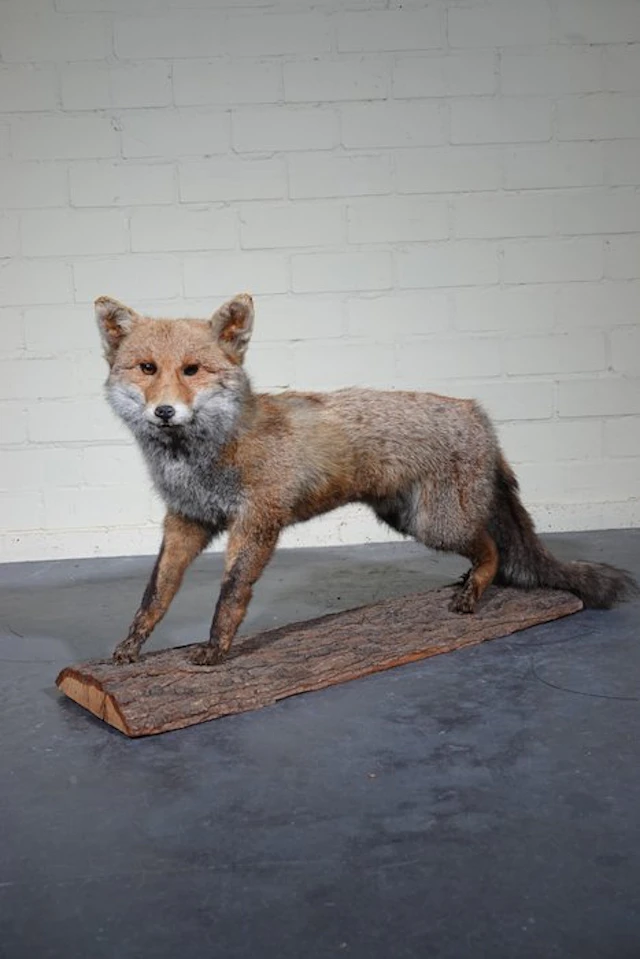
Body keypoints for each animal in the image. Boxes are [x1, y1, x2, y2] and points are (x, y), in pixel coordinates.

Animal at [95, 292, 637, 666]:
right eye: (147, 369)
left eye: (191, 370)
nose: (165, 412)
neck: (202, 457)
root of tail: (479, 415)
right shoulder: (186, 521)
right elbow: (155, 594)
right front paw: (131, 646)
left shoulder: (257, 524)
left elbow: (230, 596)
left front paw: (216, 649)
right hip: (407, 518)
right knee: (493, 546)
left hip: (436, 524)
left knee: (493, 549)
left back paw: (474, 590)